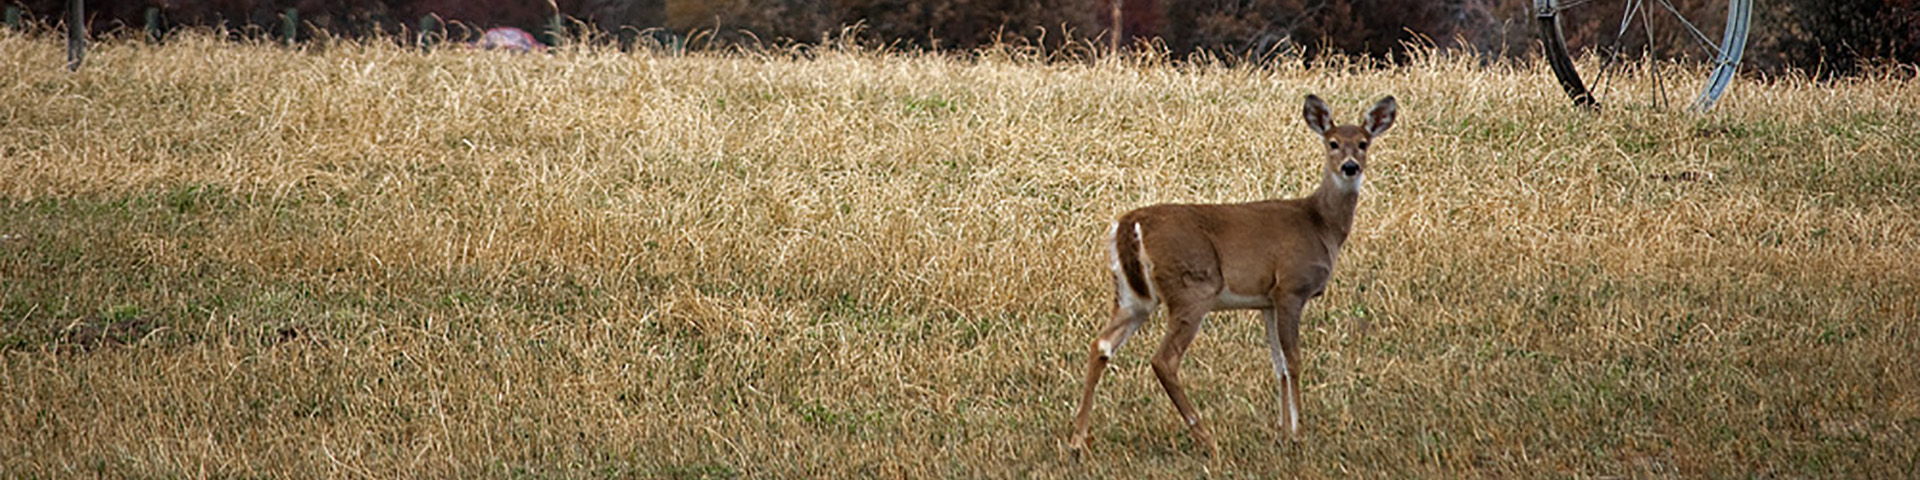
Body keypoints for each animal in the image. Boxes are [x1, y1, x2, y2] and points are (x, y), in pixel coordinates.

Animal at [1067, 94, 1397, 456]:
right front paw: (1298, 435)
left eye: (1363, 143)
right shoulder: (1291, 287)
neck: (1320, 224)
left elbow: (1279, 366)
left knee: (1101, 344)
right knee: (1164, 360)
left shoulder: (1267, 300)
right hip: (1193, 287)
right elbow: (1294, 360)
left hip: (1132, 295)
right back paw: (1207, 439)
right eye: (1333, 142)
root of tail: (1129, 224)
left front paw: (1283, 434)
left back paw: (1077, 440)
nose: (1350, 166)